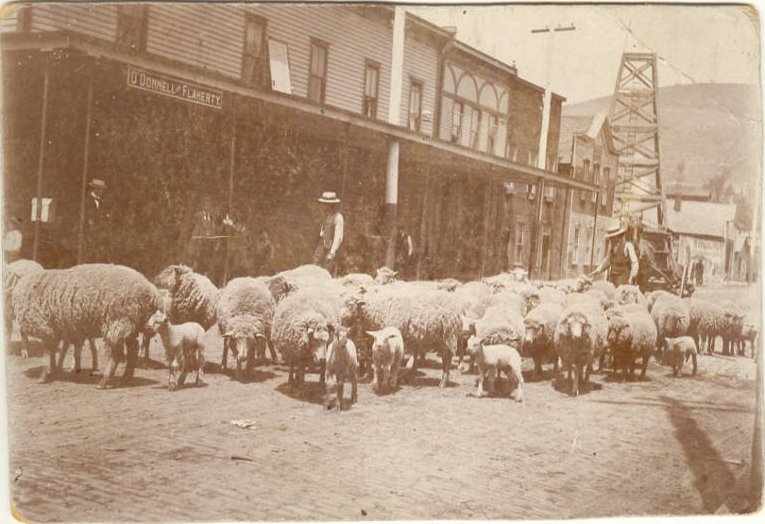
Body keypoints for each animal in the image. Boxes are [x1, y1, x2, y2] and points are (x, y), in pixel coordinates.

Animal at [11, 264, 160, 386]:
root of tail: (151, 291)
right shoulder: (57, 330)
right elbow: (56, 353)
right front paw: (55, 371)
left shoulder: (45, 327)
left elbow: (48, 354)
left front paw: (44, 376)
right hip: (132, 324)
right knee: (133, 349)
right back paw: (126, 378)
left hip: (117, 323)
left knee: (116, 355)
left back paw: (104, 382)